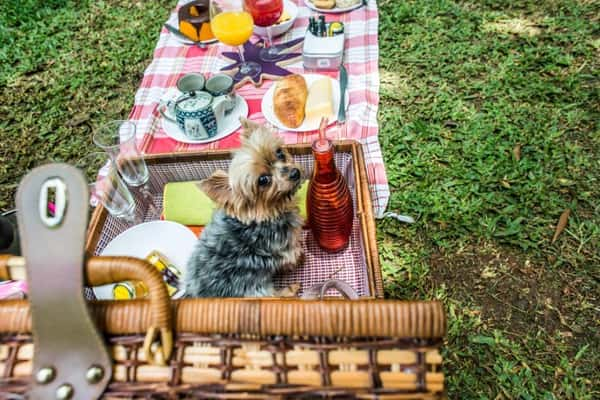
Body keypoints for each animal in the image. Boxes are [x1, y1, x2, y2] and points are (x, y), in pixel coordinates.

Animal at [184, 119, 304, 296]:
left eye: (279, 153)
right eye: (263, 180)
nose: (295, 173)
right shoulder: (285, 248)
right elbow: (294, 254)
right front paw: (301, 258)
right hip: (256, 291)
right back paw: (291, 289)